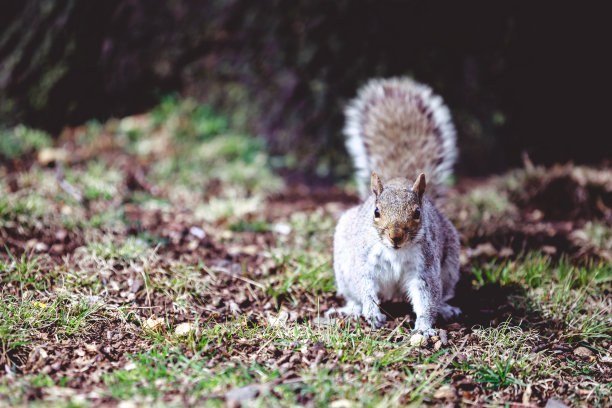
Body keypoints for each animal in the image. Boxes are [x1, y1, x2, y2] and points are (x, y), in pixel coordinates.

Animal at [330, 77, 460, 338]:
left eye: (418, 213)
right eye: (376, 212)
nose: (396, 236)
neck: (396, 252)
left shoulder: (425, 267)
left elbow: (427, 297)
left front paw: (424, 326)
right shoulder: (364, 261)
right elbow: (365, 286)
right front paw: (372, 313)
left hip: (450, 265)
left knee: (441, 294)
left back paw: (446, 308)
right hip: (343, 269)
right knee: (354, 294)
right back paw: (352, 309)